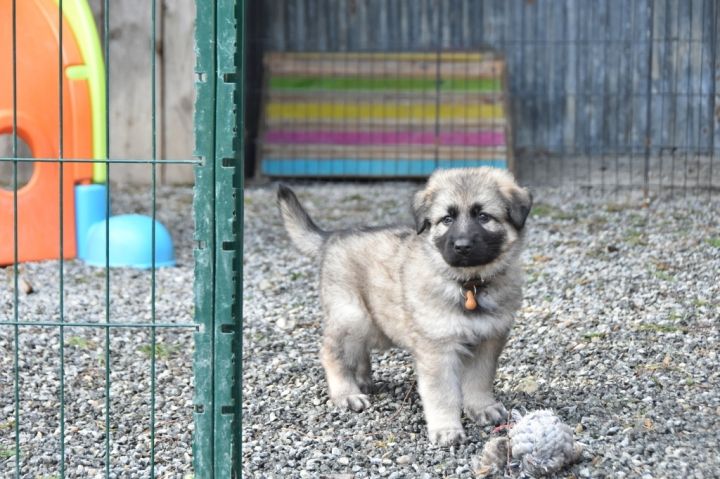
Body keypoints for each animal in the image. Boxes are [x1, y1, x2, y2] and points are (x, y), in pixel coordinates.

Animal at [277, 167, 532, 446]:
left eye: (484, 217)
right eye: (447, 219)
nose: (462, 246)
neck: (468, 285)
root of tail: (332, 237)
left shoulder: (488, 340)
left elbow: (479, 380)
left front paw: (483, 407)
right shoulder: (438, 349)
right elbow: (442, 393)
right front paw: (446, 428)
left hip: (374, 324)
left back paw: (362, 380)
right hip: (353, 316)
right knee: (331, 352)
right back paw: (346, 393)